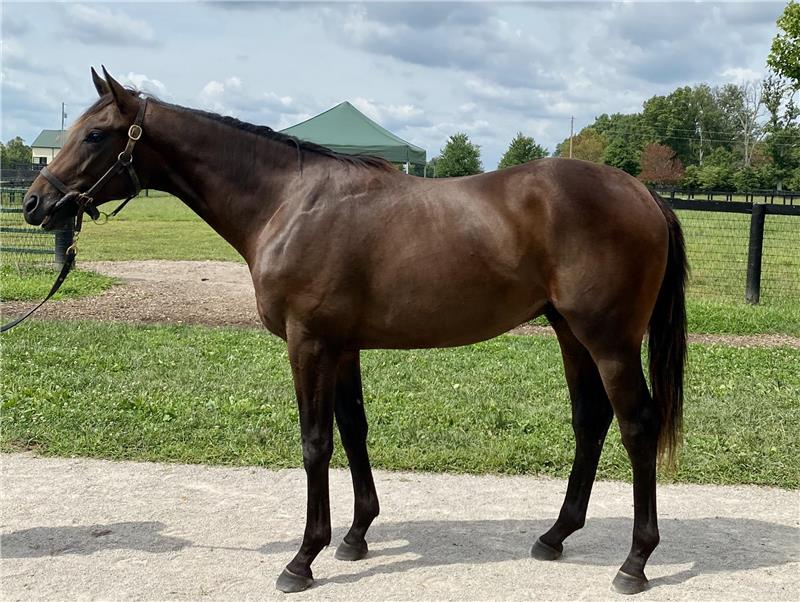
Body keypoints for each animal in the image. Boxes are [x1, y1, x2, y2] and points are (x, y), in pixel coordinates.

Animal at [22, 68, 687, 595]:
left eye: (96, 134)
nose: (34, 204)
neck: (287, 203)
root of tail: (643, 192)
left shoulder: (309, 344)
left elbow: (315, 443)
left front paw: (302, 558)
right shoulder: (341, 347)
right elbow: (354, 431)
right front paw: (356, 535)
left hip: (610, 342)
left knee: (637, 426)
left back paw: (634, 562)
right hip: (571, 335)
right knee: (590, 421)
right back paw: (555, 535)